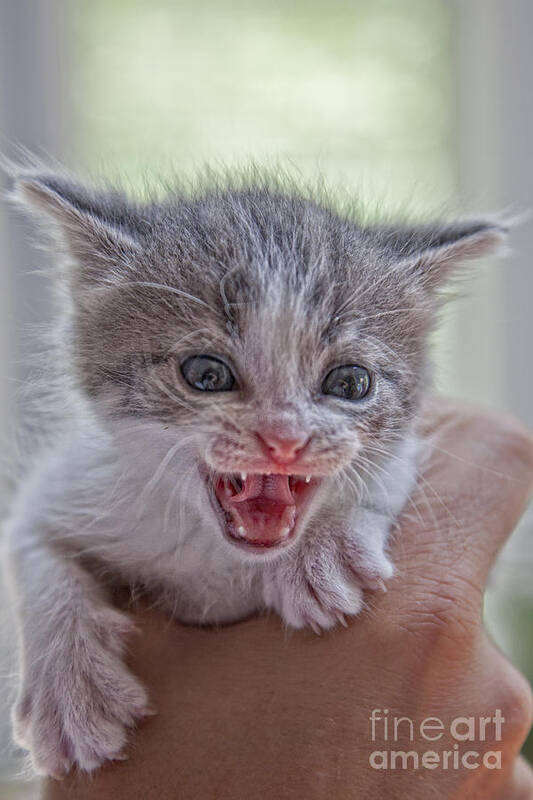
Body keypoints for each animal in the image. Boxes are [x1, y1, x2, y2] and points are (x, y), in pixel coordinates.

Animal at [3, 169, 502, 776]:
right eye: (206, 374)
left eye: (351, 383)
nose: (284, 440)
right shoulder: (73, 484)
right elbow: (35, 549)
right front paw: (69, 691)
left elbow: (392, 465)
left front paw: (324, 548)